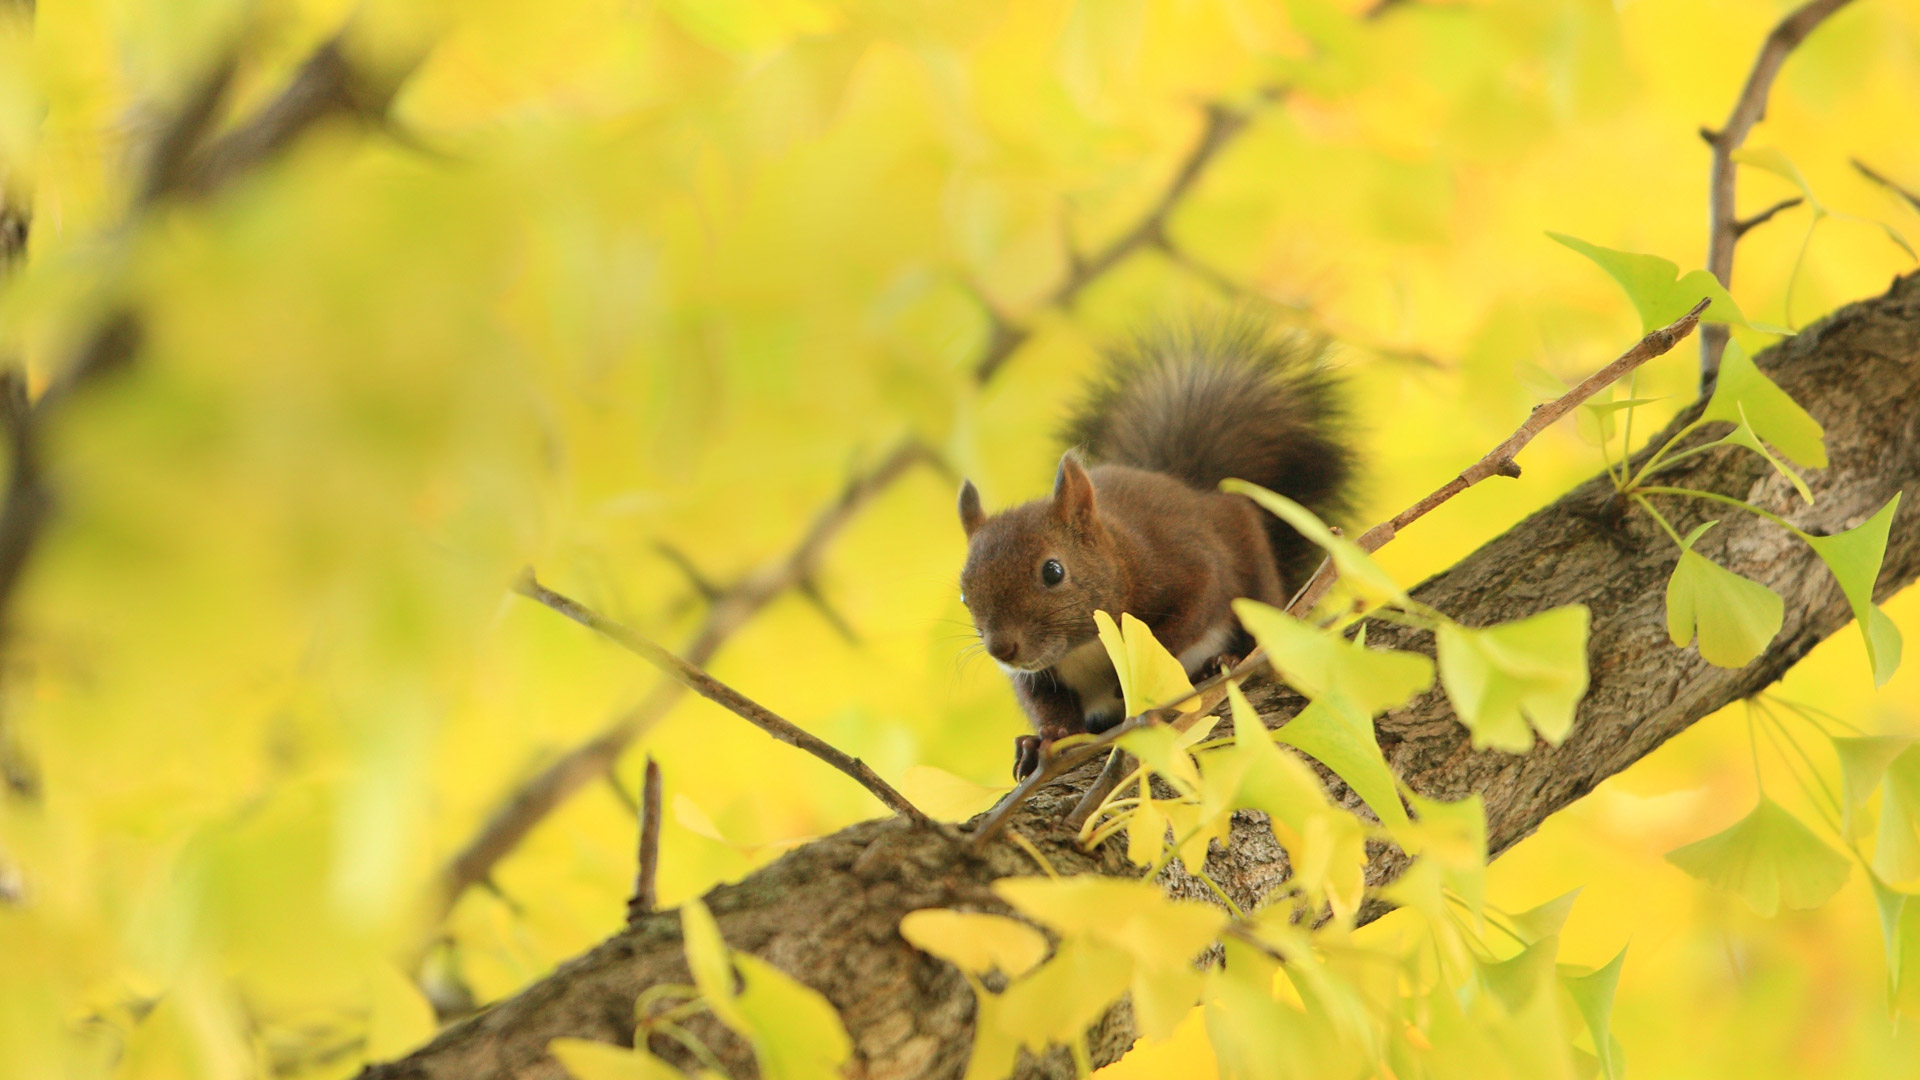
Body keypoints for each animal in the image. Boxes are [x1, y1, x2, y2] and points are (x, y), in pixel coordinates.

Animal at [956, 315, 1351, 776]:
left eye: (1052, 571)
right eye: (964, 593)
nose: (1001, 648)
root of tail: (1191, 487)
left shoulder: (1180, 564)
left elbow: (1192, 611)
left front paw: (1136, 673)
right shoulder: (1039, 673)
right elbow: (1044, 701)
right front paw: (1044, 740)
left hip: (1254, 572)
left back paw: (1224, 662)